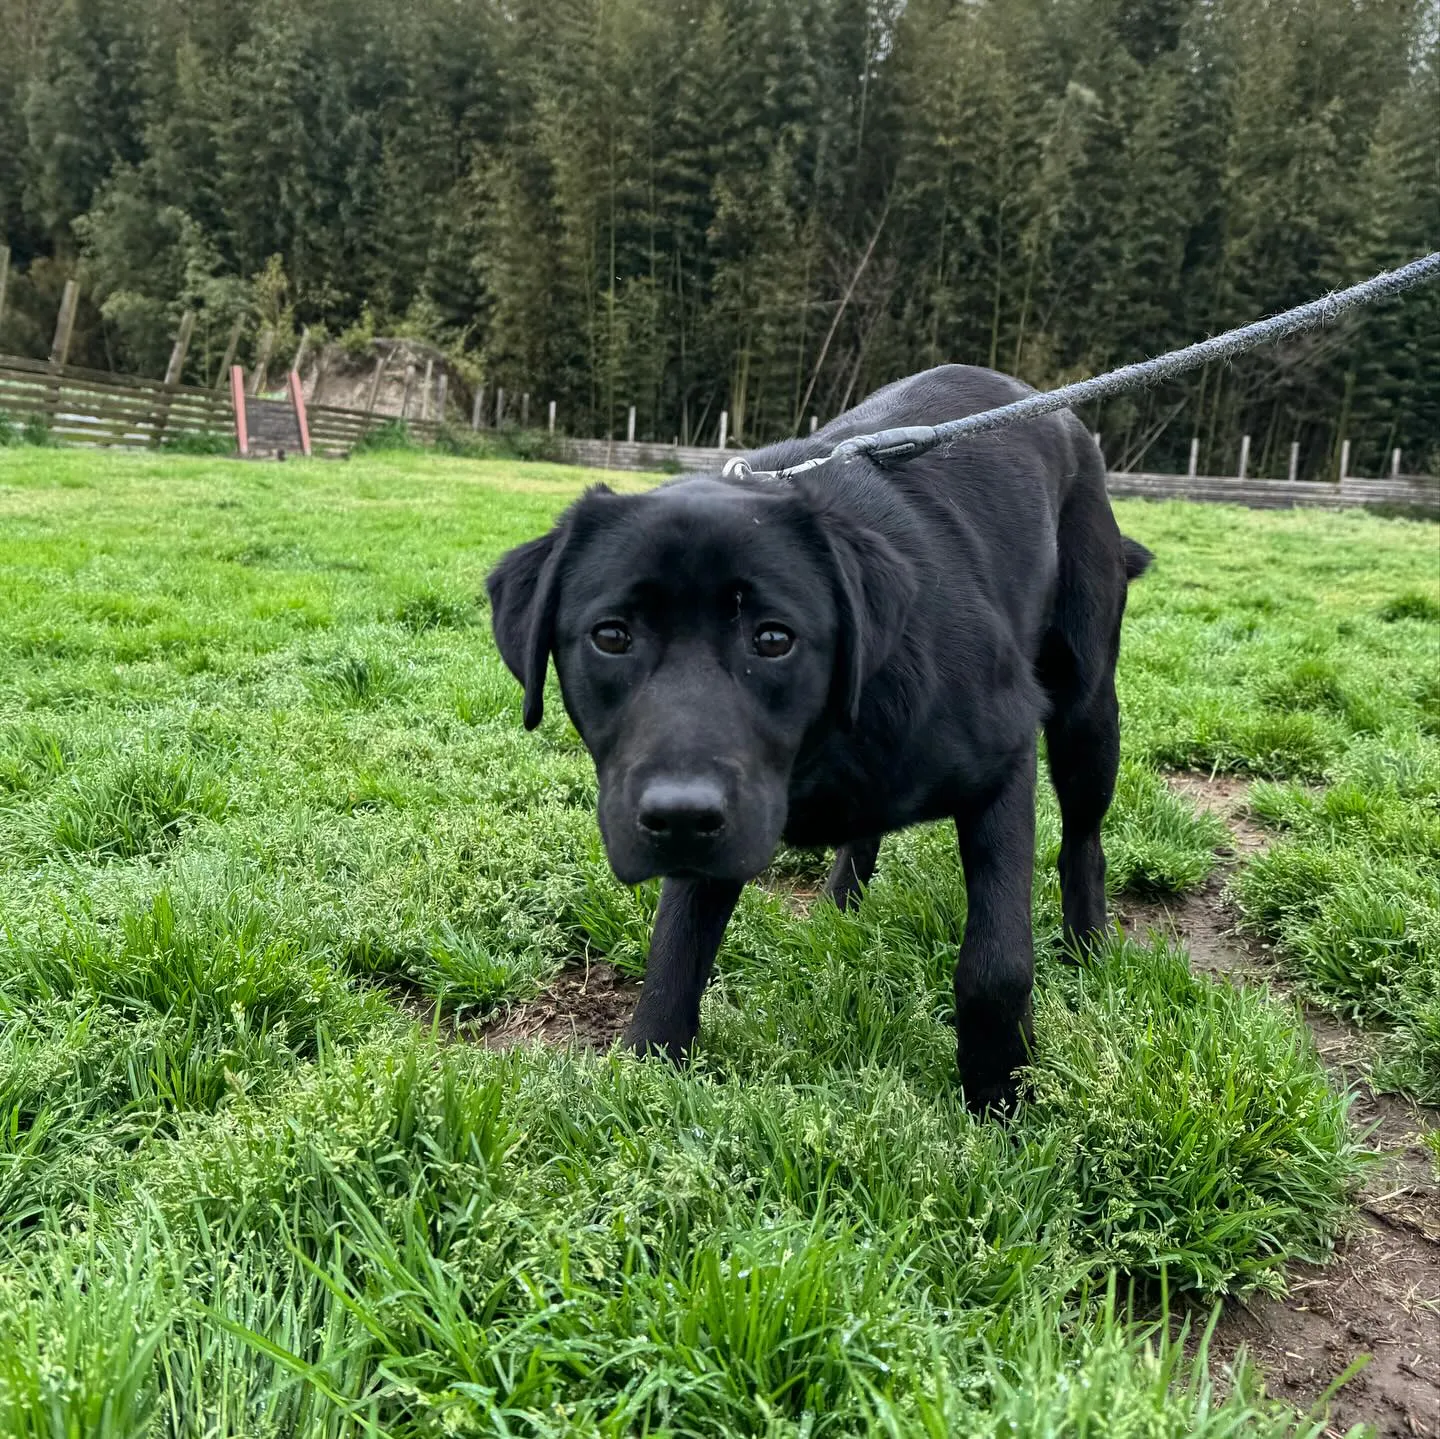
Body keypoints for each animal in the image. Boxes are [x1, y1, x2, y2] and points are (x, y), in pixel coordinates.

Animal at [489, 362, 1152, 1112]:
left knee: (1082, 840)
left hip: (1086, 709)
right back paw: (842, 901)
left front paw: (1001, 1095)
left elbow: (996, 963)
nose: (680, 815)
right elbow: (675, 949)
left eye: (774, 638)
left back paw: (1088, 944)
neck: (821, 751)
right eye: (611, 636)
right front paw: (647, 1072)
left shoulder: (1004, 758)